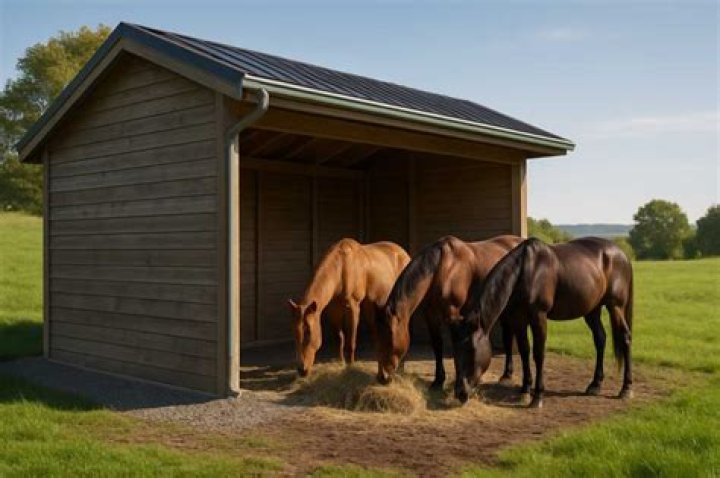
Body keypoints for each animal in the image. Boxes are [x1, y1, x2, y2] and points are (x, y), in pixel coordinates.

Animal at [288, 238, 410, 377]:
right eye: (294, 331)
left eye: (308, 331)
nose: (302, 370)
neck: (341, 268)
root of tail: (404, 253)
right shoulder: (333, 309)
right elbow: (339, 339)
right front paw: (340, 363)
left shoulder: (353, 307)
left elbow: (350, 342)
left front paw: (351, 367)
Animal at [375, 235, 522, 390]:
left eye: (390, 335)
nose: (382, 377)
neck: (443, 268)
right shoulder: (431, 316)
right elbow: (437, 345)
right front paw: (438, 381)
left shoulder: (453, 316)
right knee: (507, 336)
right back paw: (507, 374)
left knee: (508, 337)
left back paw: (507, 375)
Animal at [452, 237, 634, 408]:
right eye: (456, 351)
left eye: (470, 349)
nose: (460, 392)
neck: (526, 271)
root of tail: (621, 254)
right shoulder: (518, 319)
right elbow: (524, 351)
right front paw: (525, 391)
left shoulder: (538, 317)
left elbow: (538, 354)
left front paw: (537, 397)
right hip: (592, 310)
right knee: (600, 339)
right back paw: (595, 384)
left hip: (615, 306)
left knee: (625, 338)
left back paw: (626, 389)